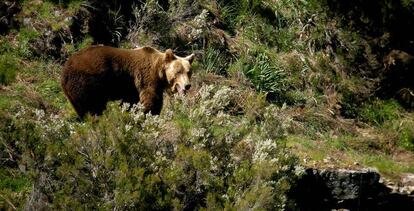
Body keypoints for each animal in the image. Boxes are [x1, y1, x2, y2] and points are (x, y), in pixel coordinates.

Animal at [60, 45, 195, 118]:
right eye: (178, 71)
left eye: (189, 71)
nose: (187, 85)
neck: (159, 72)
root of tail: (64, 69)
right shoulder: (146, 78)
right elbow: (150, 100)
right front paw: (149, 114)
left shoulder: (132, 88)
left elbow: (130, 103)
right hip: (86, 83)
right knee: (93, 107)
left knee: (83, 110)